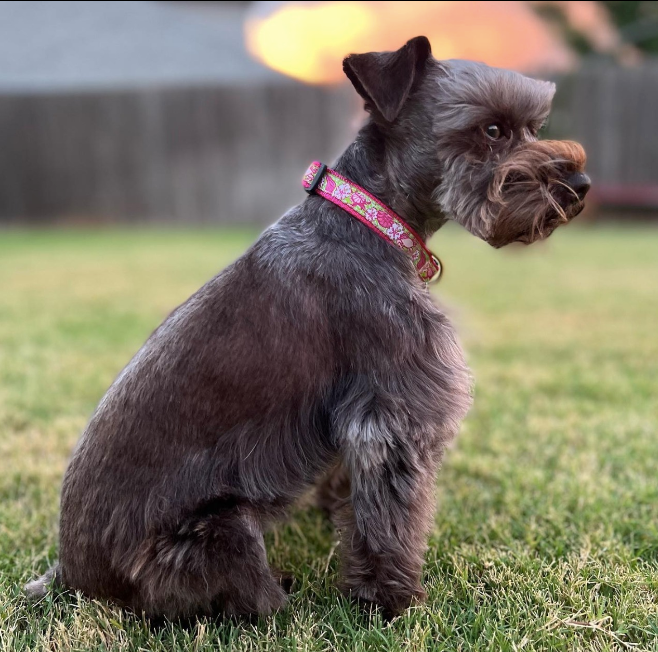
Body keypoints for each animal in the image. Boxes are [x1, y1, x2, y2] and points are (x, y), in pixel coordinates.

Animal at [25, 37, 588, 620]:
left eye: (533, 126)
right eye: (492, 130)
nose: (580, 184)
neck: (368, 223)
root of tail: (70, 579)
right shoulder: (395, 412)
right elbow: (391, 520)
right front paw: (389, 602)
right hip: (221, 532)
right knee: (251, 604)